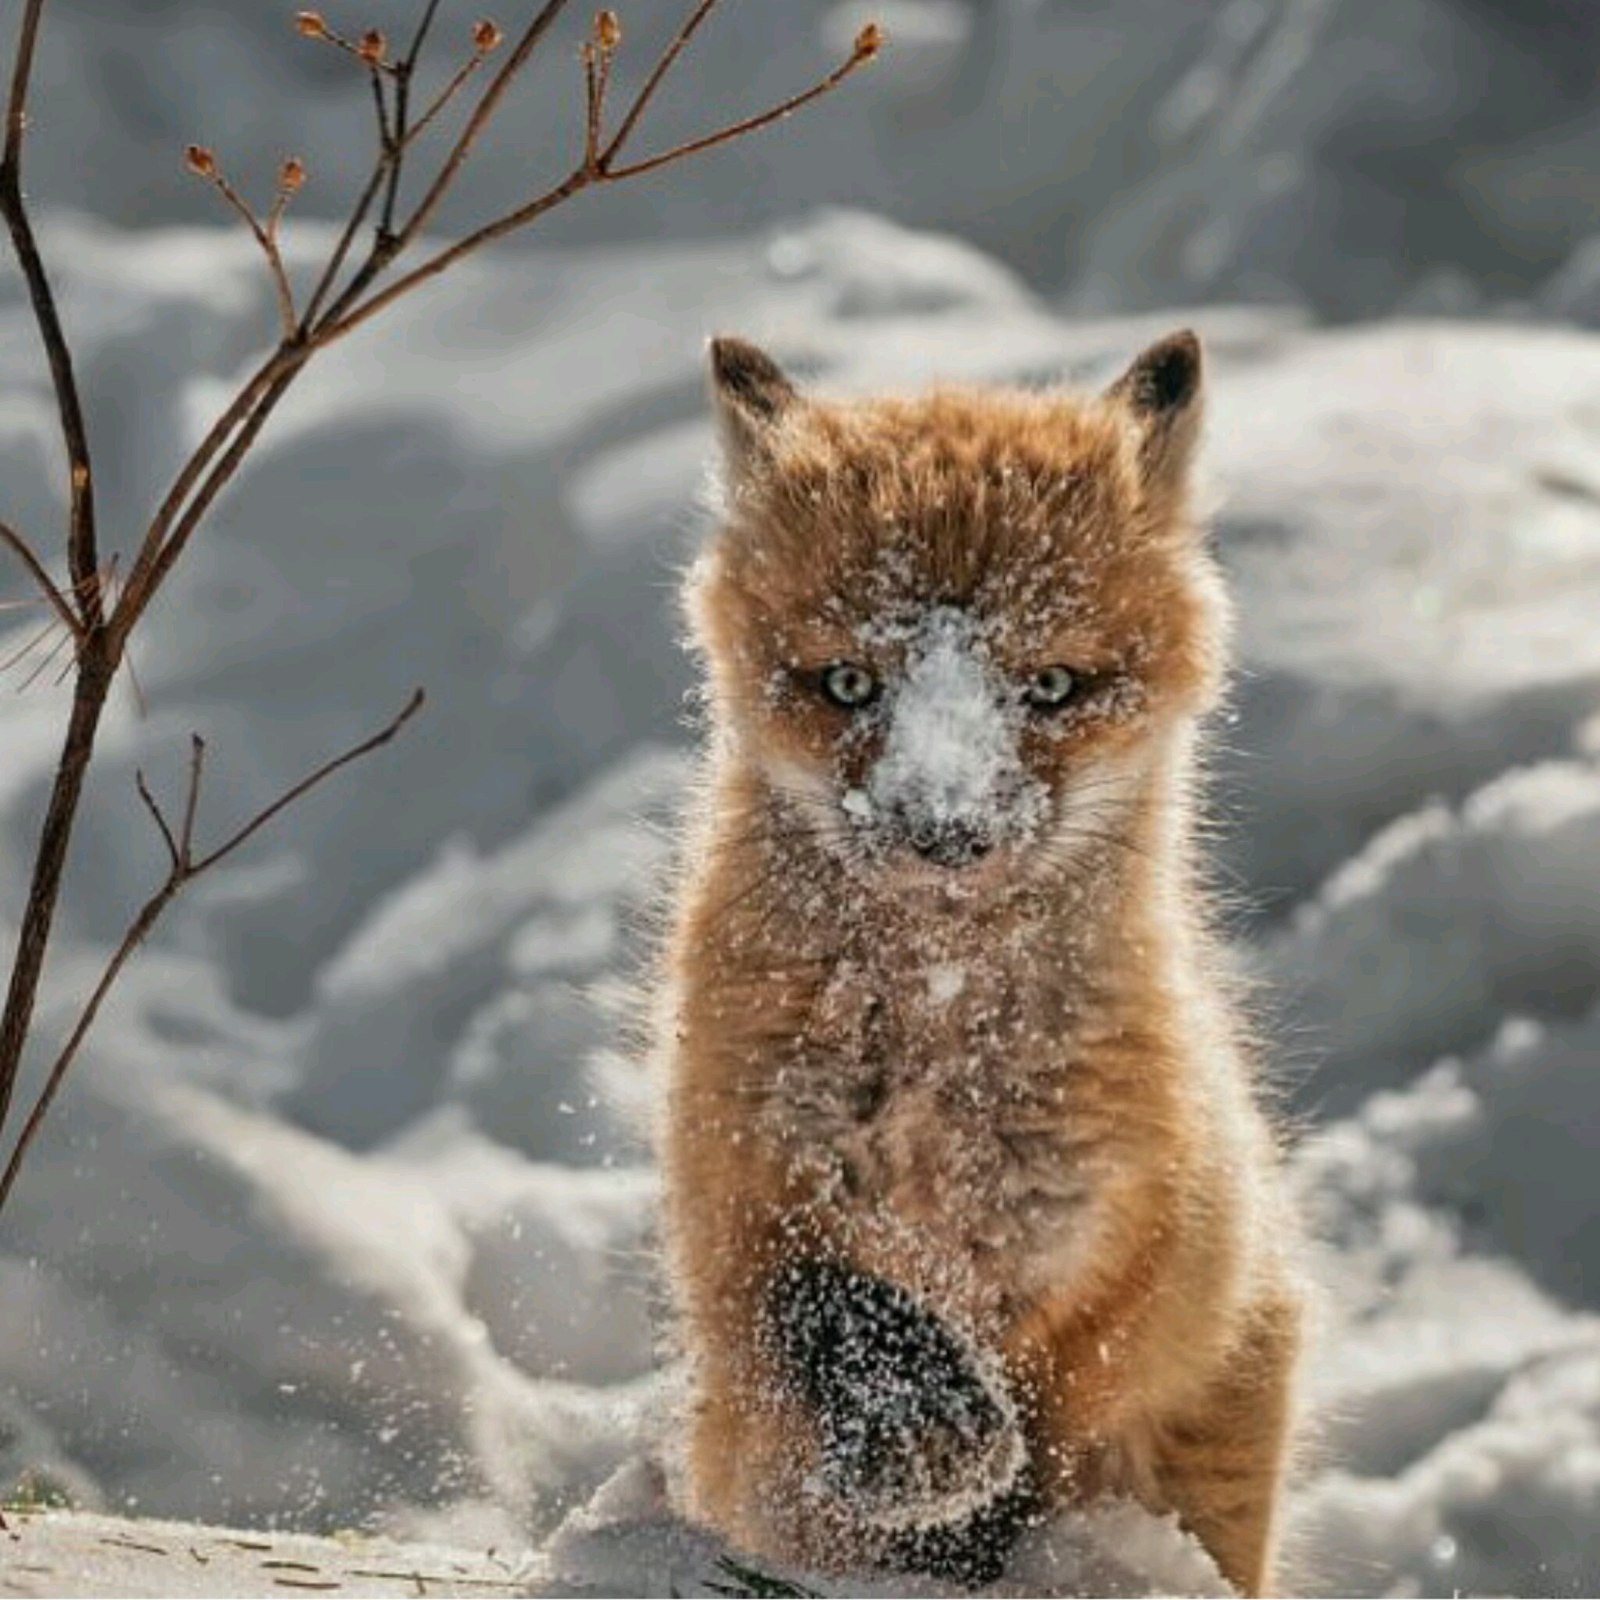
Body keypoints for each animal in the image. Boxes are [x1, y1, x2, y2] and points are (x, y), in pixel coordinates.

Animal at [652, 331, 1312, 1593]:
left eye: (1048, 685)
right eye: (847, 683)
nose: (944, 829)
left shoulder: (1124, 1255)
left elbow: (1052, 1418)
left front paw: (981, 1511)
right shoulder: (740, 1197)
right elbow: (836, 1307)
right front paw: (923, 1439)